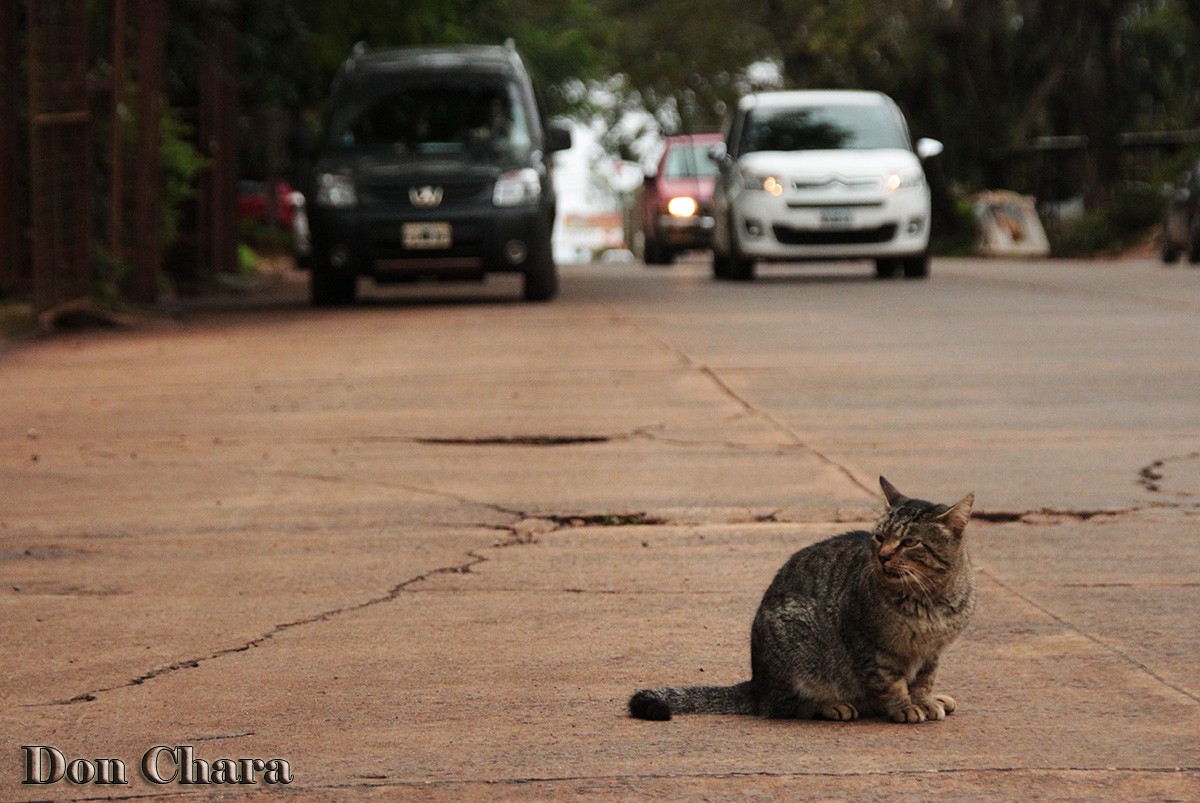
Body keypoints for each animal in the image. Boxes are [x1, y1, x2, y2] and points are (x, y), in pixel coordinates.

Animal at [628, 480, 974, 724]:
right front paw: (905, 707)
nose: (883, 555)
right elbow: (891, 681)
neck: (928, 600)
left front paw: (925, 701)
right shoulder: (869, 645)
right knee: (781, 705)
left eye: (910, 542)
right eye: (879, 537)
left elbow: (923, 680)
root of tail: (758, 683)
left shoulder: (931, 653)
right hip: (796, 637)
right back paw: (832, 706)